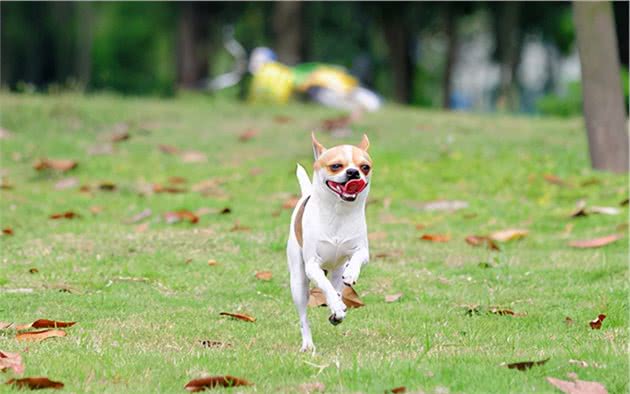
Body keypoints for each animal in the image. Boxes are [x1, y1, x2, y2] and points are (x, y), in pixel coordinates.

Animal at [288, 132, 372, 350]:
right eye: (336, 166)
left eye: (365, 167)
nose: (353, 173)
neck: (338, 212)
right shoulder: (312, 265)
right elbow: (325, 287)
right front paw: (335, 305)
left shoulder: (362, 251)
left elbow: (357, 257)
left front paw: (351, 273)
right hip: (298, 282)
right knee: (304, 316)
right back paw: (308, 343)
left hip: (336, 271)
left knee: (336, 285)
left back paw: (337, 311)